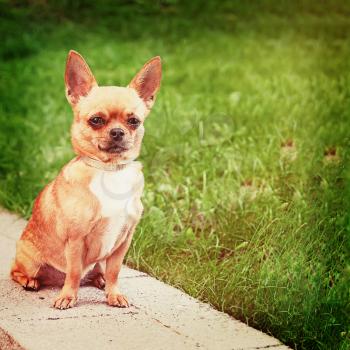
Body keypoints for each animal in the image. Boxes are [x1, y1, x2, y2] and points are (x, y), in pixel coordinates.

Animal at [10, 50, 162, 308]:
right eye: (96, 120)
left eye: (134, 121)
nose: (118, 132)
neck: (110, 170)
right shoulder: (76, 240)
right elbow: (72, 272)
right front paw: (68, 297)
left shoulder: (123, 241)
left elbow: (114, 271)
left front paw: (113, 293)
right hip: (30, 260)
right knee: (17, 271)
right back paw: (31, 281)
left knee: (97, 270)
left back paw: (99, 280)